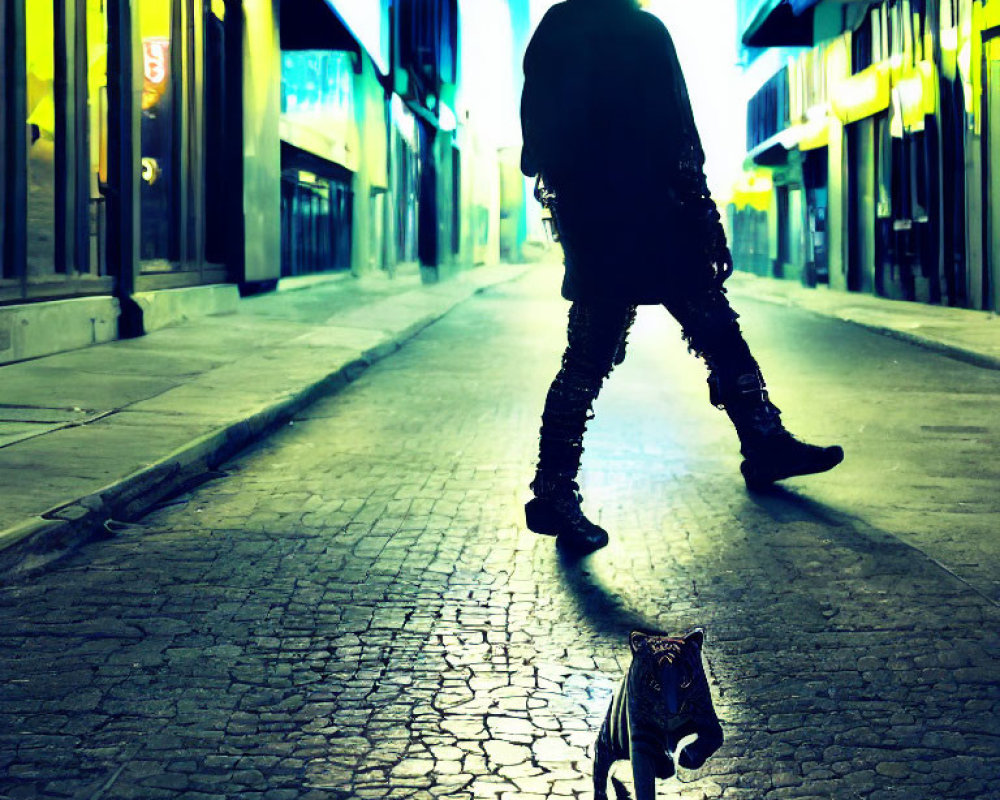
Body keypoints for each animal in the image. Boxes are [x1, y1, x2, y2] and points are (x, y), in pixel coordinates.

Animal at [592, 632, 728, 800]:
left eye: (684, 683)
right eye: (654, 685)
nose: (671, 711)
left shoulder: (709, 724)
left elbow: (705, 744)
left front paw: (684, 757)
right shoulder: (640, 739)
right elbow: (644, 782)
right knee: (601, 775)